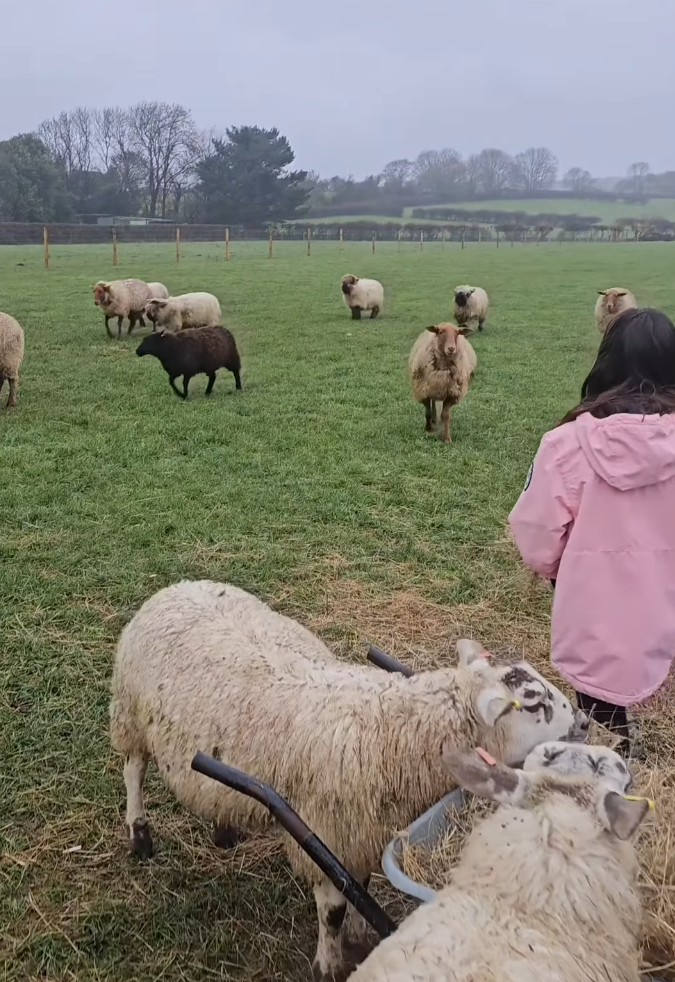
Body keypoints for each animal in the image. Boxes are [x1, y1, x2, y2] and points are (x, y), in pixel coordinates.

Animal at [110, 581, 588, 982]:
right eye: (534, 703)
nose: (584, 721)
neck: (394, 729)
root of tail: (177, 585)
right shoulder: (329, 831)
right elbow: (334, 909)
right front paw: (329, 964)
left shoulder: (363, 829)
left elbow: (365, 884)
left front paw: (360, 934)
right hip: (130, 715)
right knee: (133, 771)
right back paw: (140, 835)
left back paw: (224, 831)